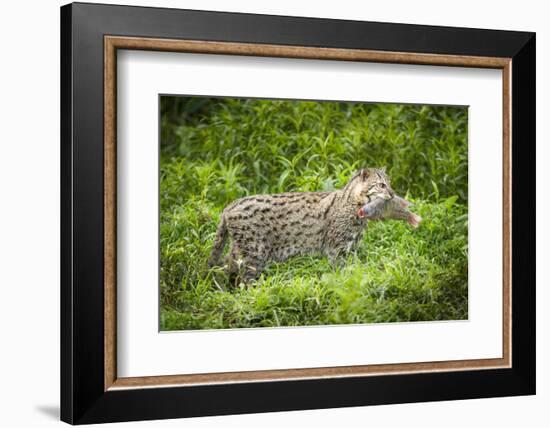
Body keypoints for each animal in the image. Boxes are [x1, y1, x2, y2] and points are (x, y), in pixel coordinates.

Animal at [210, 169, 396, 282]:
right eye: (381, 185)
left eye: (390, 182)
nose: (393, 194)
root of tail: (230, 206)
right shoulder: (336, 249)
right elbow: (341, 272)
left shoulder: (352, 249)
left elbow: (355, 269)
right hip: (255, 253)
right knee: (244, 280)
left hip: (241, 251)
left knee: (225, 266)